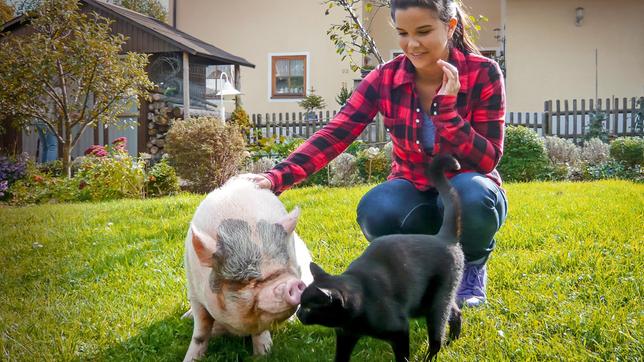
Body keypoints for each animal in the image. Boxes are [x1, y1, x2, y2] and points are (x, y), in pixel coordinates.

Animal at [182, 177, 314, 360]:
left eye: (289, 266)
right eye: (248, 280)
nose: (292, 283)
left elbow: (259, 329)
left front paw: (263, 355)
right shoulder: (194, 293)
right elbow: (200, 332)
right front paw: (190, 359)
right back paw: (185, 317)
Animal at [294, 155, 466, 362]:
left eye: (308, 307)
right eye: (300, 304)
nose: (299, 313)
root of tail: (443, 237)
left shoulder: (400, 330)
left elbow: (402, 357)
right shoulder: (346, 334)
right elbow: (341, 356)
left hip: (436, 302)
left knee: (437, 334)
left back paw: (432, 355)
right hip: (428, 302)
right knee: (455, 312)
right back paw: (452, 341)